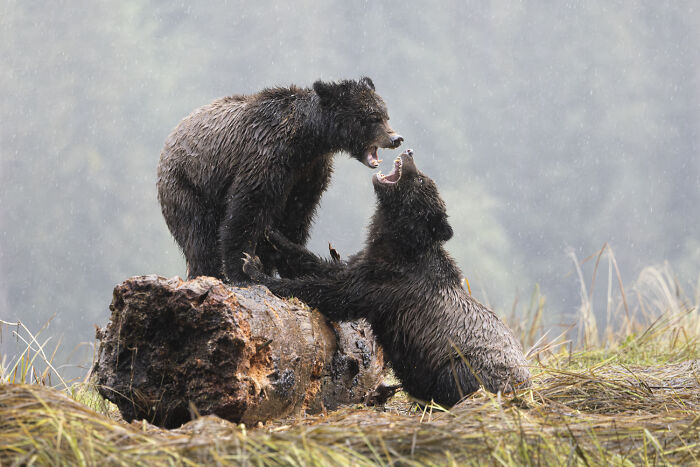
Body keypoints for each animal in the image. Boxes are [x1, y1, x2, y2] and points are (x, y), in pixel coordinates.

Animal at [157, 77, 403, 282]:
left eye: (385, 114)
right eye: (372, 117)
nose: (396, 138)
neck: (309, 140)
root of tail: (170, 139)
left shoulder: (309, 173)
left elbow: (296, 216)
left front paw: (289, 264)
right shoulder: (268, 157)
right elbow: (246, 210)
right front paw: (241, 269)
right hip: (188, 184)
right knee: (198, 233)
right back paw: (208, 272)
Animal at [242, 149, 531, 407]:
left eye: (421, 180)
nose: (409, 152)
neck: (399, 249)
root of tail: (526, 386)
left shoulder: (380, 288)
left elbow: (325, 292)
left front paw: (256, 271)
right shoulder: (362, 265)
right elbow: (320, 264)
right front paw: (273, 236)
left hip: (461, 365)